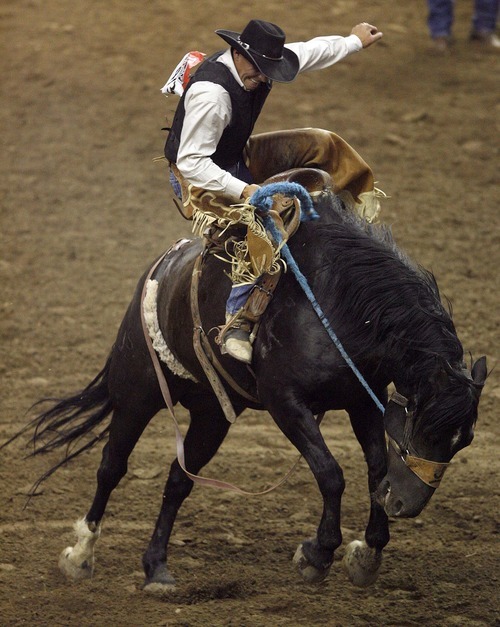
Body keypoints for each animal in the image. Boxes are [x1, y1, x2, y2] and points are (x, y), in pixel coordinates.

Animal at [2, 173, 484, 592]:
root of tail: (159, 269)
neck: (341, 301)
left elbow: (377, 469)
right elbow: (331, 474)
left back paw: (157, 567)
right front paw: (317, 555)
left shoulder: (363, 401)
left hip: (211, 414)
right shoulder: (284, 401)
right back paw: (80, 554)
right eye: (426, 426)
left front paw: (367, 553)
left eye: (463, 440)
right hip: (137, 393)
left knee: (179, 479)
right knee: (111, 467)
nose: (406, 504)